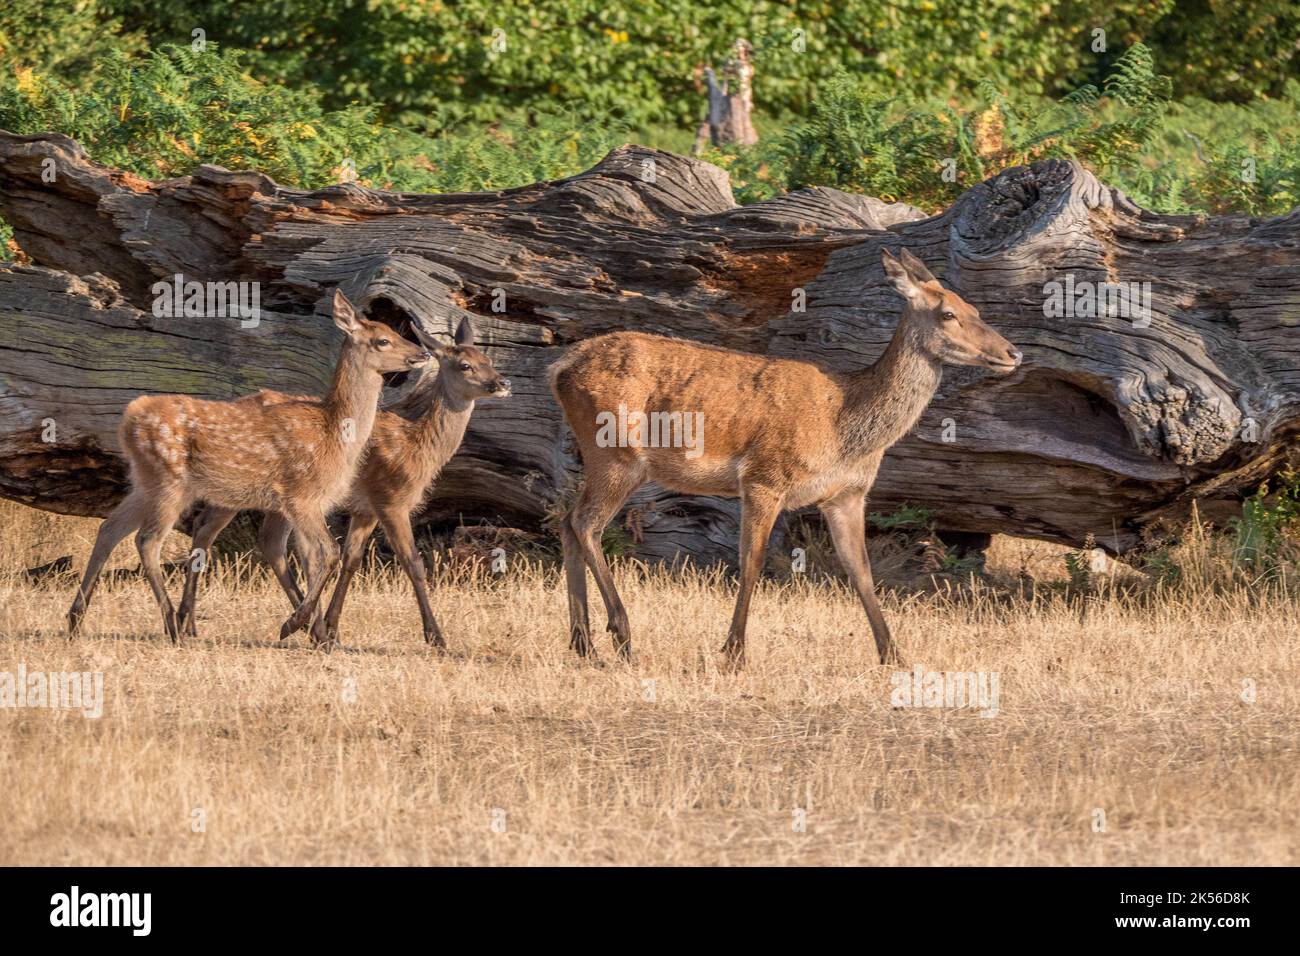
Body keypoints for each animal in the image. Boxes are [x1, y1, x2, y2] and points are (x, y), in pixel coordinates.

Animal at [67, 290, 431, 643]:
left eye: (396, 331)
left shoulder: (301, 503)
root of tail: (128, 421)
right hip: (169, 481)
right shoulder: (301, 495)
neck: (334, 432)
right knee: (147, 540)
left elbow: (312, 558)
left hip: (145, 481)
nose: (423, 352)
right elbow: (328, 553)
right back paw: (172, 625)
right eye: (382, 340)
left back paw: (75, 620)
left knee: (110, 528)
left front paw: (317, 633)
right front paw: (296, 625)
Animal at [173, 315, 510, 648]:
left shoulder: (365, 508)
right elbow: (412, 562)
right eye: (465, 365)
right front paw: (436, 637)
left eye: (488, 358)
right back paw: (192, 624)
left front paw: (333, 627)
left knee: (261, 539)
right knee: (210, 530)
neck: (417, 450)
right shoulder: (389, 498)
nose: (503, 383)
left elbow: (351, 559)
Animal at [548, 248, 1022, 666]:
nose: (1012, 352)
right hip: (616, 454)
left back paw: (584, 646)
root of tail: (559, 369)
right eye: (947, 314)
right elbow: (751, 562)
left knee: (568, 520)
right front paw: (734, 654)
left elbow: (862, 571)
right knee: (585, 523)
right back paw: (622, 637)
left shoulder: (847, 494)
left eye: (975, 308)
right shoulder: (764, 477)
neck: (845, 429)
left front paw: (894, 656)